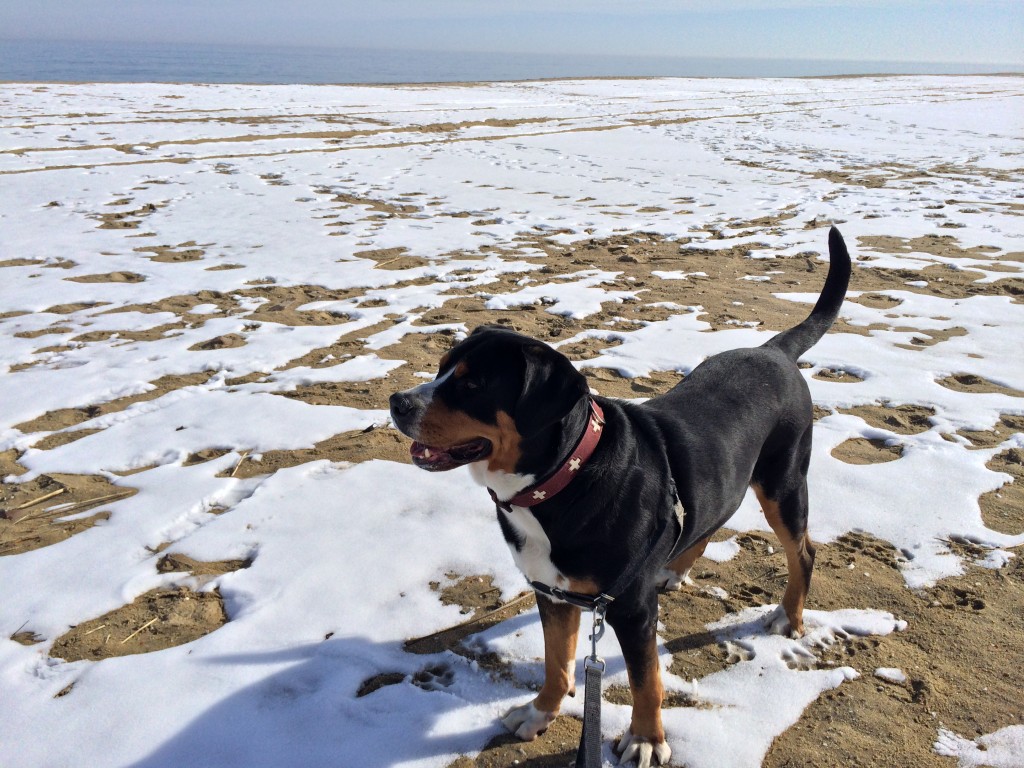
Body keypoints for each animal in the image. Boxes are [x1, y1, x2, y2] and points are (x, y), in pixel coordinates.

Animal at [387, 225, 851, 765]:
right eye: (442, 368)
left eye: (473, 384)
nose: (397, 402)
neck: (559, 484)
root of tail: (774, 350)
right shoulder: (551, 592)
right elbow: (558, 662)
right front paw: (540, 712)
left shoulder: (632, 609)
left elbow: (645, 680)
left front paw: (647, 739)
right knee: (711, 519)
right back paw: (673, 567)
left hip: (783, 483)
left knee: (803, 551)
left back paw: (789, 617)